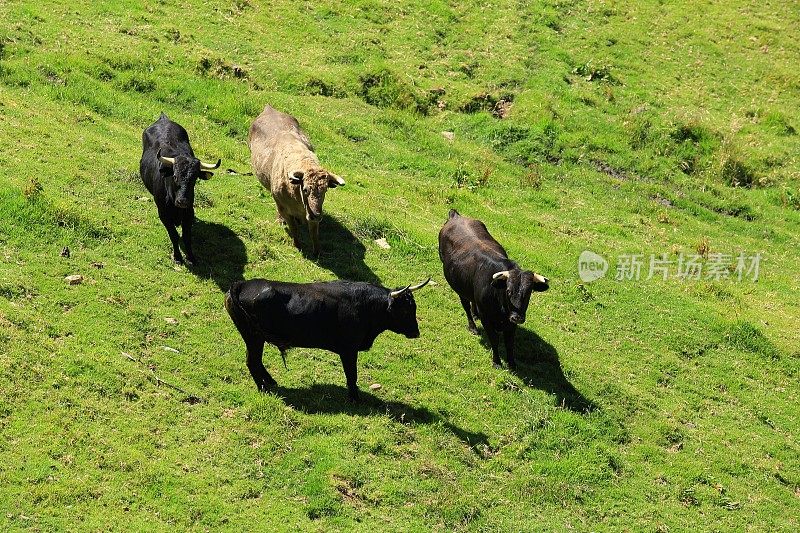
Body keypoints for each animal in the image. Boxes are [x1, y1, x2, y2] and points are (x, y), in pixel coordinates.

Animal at [225, 278, 432, 400]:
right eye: (405, 310)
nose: (416, 332)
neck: (366, 306)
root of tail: (241, 284)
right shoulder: (349, 350)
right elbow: (352, 374)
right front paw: (354, 398)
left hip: (253, 338)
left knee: (256, 362)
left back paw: (270, 382)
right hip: (253, 337)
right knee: (252, 362)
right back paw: (264, 388)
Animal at [248, 105, 346, 255]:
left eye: (325, 191)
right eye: (305, 189)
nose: (316, 215)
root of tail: (269, 108)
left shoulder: (313, 214)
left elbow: (314, 233)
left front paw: (317, 252)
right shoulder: (285, 208)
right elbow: (293, 227)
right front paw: (297, 245)